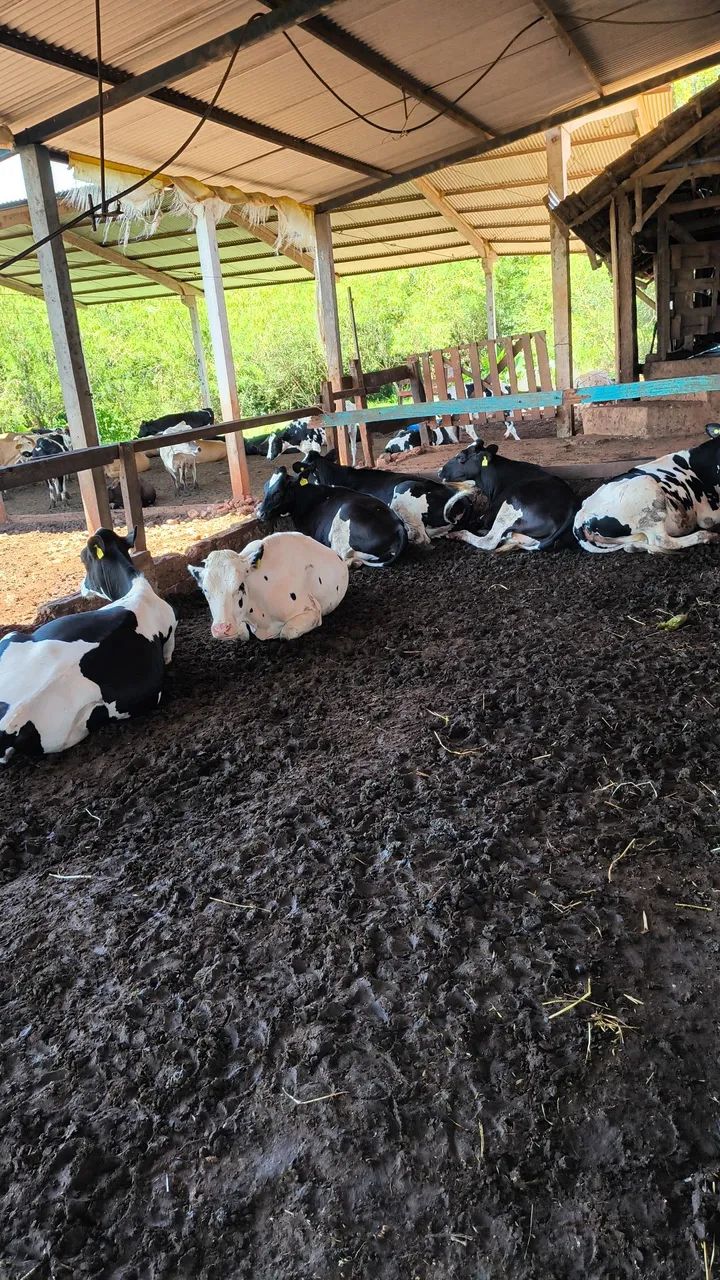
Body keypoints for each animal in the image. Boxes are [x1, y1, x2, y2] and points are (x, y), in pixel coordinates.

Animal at [189, 531, 349, 642]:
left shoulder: (312, 610)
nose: (221, 629)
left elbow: (286, 633)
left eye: (240, 586)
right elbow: (242, 634)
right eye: (205, 590)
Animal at [257, 467, 407, 568]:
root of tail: (398, 526)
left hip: (346, 512)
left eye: (277, 491)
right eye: (264, 488)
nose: (260, 513)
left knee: (345, 556)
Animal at [439, 441, 578, 552]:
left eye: (460, 457)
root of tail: (571, 507)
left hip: (509, 507)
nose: (440, 471)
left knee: (489, 540)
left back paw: (458, 534)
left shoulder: (490, 514)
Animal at [573, 424, 720, 554]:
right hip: (647, 491)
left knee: (641, 545)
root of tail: (581, 515)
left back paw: (634, 547)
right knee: (661, 540)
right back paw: (708, 536)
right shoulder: (709, 514)